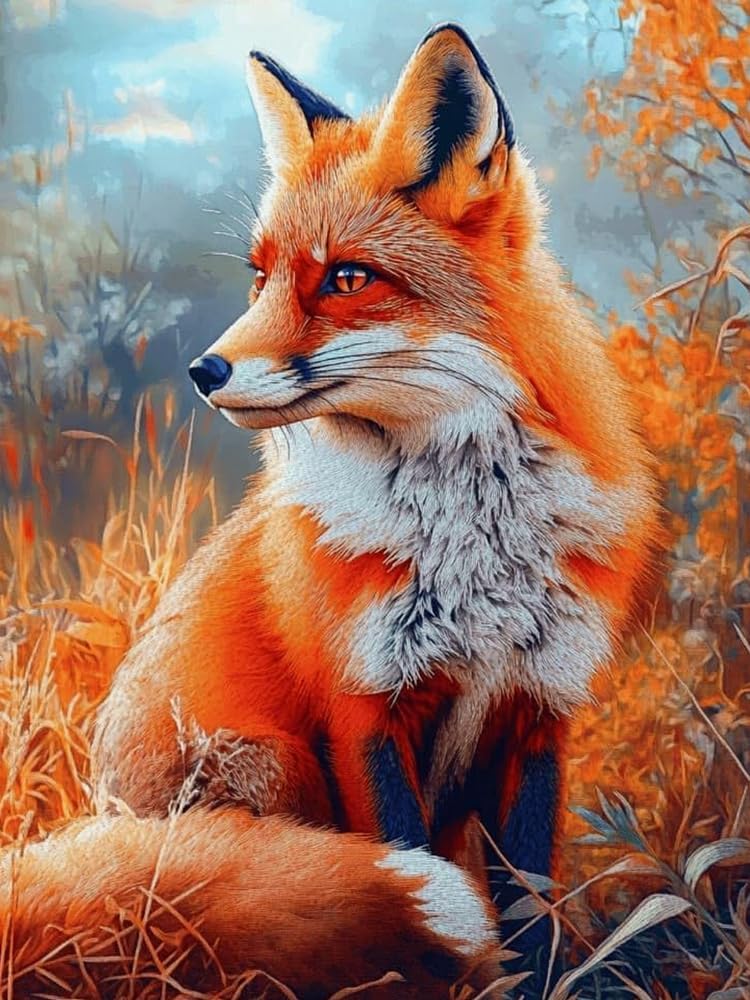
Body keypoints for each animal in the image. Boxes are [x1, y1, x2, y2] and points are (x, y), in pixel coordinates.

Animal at [0, 22, 659, 999]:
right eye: (261, 277)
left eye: (347, 278)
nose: (203, 370)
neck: (474, 538)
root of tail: (98, 811)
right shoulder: (361, 710)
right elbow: (407, 856)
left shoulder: (539, 712)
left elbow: (535, 909)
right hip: (264, 761)